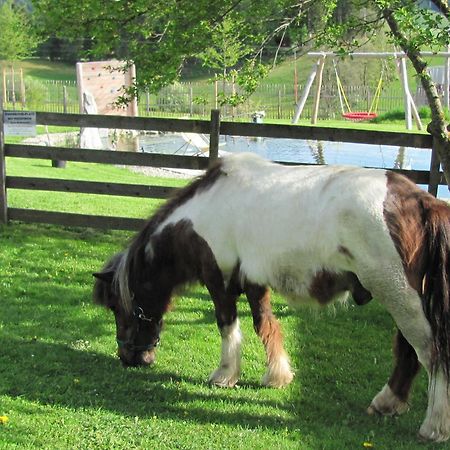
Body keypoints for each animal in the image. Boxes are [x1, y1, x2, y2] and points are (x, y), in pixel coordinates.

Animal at [94, 153, 450, 442]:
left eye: (116, 307)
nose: (129, 357)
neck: (207, 208)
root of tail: (421, 201)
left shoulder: (219, 282)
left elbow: (227, 326)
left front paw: (225, 375)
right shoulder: (254, 283)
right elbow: (265, 325)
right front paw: (278, 375)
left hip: (399, 297)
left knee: (430, 353)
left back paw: (433, 427)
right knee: (408, 353)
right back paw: (388, 403)